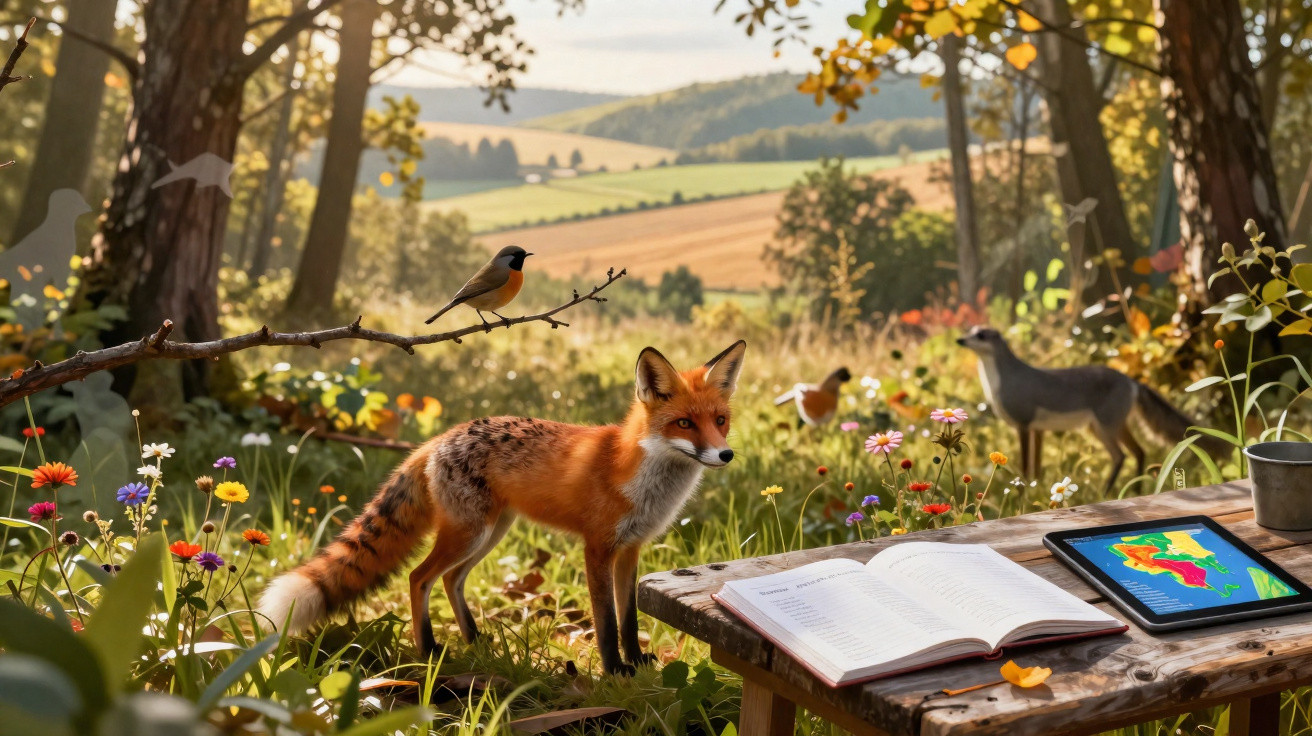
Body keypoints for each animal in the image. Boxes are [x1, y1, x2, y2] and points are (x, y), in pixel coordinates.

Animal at [258, 340, 747, 675]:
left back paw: (474, 639)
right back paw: (428, 650)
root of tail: (437, 439)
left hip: (492, 533)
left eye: (720, 421)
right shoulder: (596, 548)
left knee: (451, 579)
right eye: (684, 423)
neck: (639, 476)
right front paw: (614, 672)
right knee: (419, 577)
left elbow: (627, 619)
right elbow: (606, 622)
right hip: (469, 534)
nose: (725, 455)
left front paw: (637, 661)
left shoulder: (630, 549)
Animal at [956, 326, 1226, 491]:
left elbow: (1024, 467)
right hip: (1102, 427)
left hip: (1106, 427)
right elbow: (1036, 469)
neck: (999, 385)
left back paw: (1109, 491)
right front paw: (1035, 489)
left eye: (981, 335)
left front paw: (1022, 490)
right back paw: (1134, 489)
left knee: (1123, 455)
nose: (959, 339)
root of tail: (1131, 380)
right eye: (969, 331)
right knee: (1137, 452)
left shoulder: (1023, 424)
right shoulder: (1038, 429)